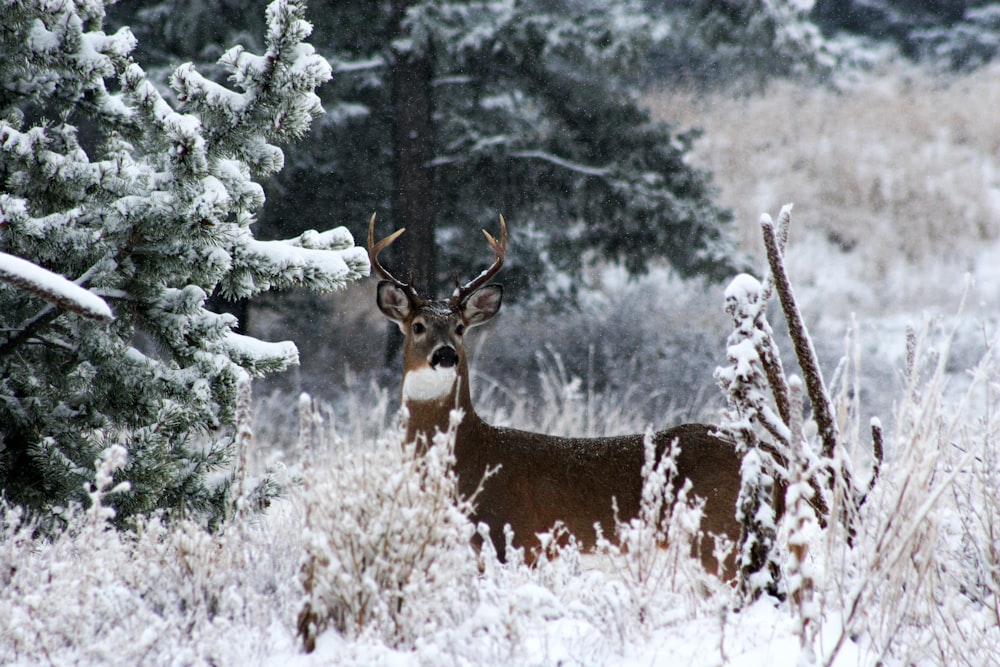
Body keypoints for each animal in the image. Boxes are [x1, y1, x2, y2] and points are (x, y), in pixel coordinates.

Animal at [368, 213, 744, 576]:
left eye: (460, 328)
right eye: (418, 326)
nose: (445, 355)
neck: (472, 455)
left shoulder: (515, 538)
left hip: (715, 534)